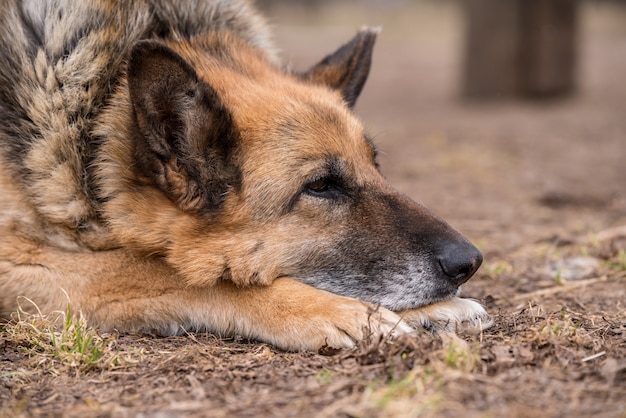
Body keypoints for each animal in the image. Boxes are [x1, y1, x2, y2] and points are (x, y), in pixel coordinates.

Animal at [0, 0, 488, 352]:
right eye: (320, 186)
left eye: (376, 165)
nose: (470, 262)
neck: (93, 117)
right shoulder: (18, 259)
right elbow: (166, 272)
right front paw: (337, 311)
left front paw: (435, 307)